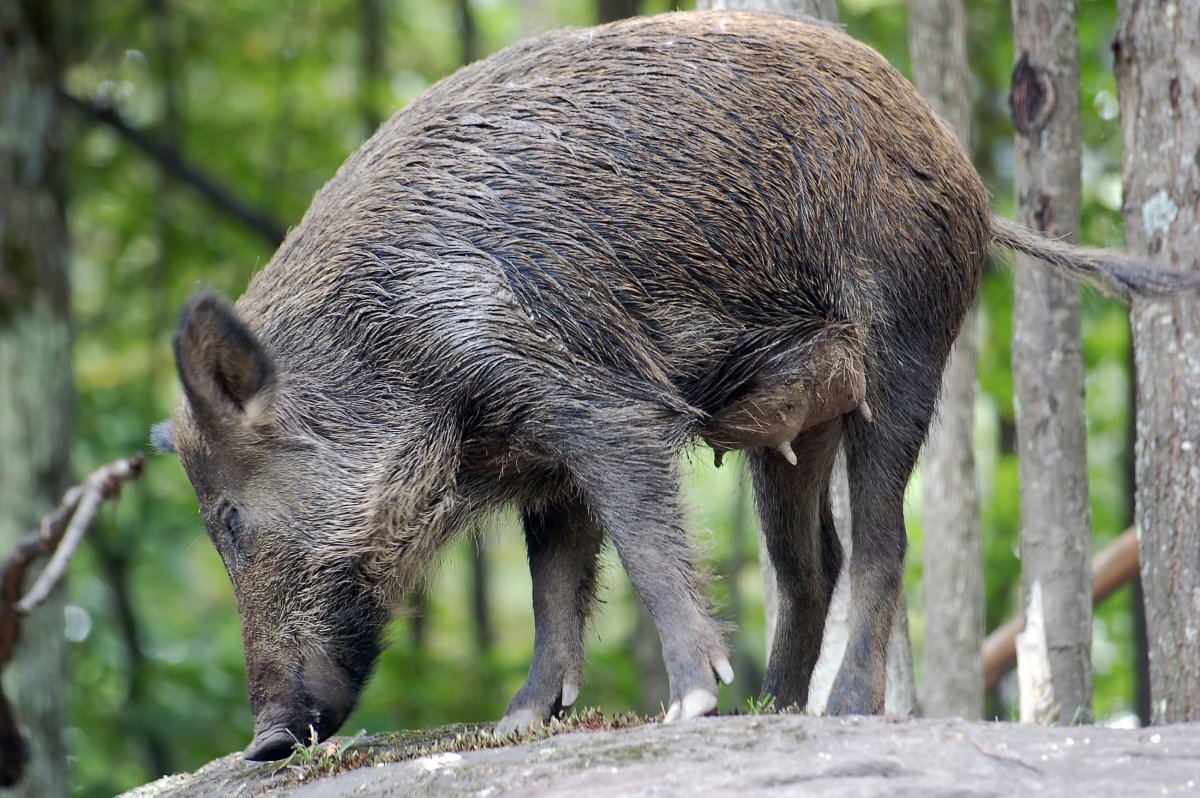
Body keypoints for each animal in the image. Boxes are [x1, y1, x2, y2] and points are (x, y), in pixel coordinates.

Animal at [153, 10, 1190, 760]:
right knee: (807, 564)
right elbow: (557, 583)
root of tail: (968, 177)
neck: (403, 348)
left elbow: (647, 540)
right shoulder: (542, 455)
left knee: (884, 541)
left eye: (232, 522)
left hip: (904, 344)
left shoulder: (589, 395)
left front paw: (688, 707)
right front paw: (518, 723)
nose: (266, 742)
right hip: (797, 426)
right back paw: (775, 709)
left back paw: (841, 713)